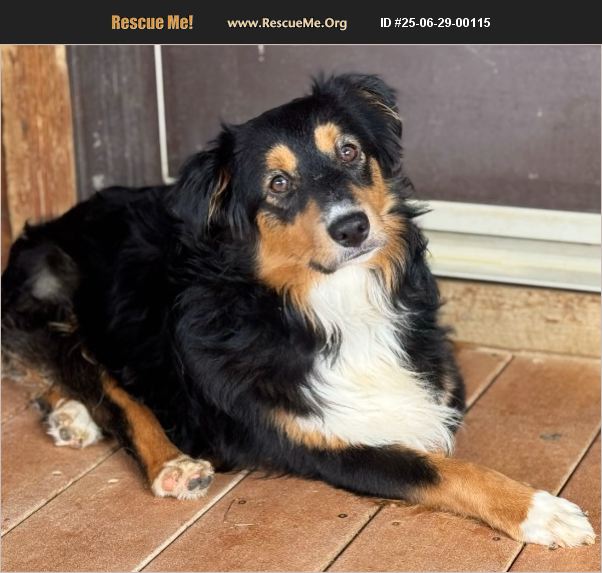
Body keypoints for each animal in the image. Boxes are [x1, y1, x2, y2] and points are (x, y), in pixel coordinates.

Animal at [1, 73, 594, 547]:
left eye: (349, 152)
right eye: (278, 183)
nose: (351, 227)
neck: (328, 304)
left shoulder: (440, 381)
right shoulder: (321, 444)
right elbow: (443, 469)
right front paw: (541, 511)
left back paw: (69, 416)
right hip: (54, 287)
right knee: (108, 387)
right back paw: (168, 461)